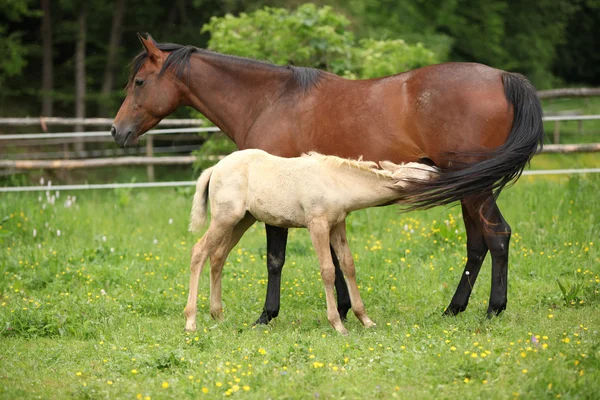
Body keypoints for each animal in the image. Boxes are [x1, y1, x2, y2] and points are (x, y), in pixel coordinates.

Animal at [183, 149, 436, 334]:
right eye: (428, 177)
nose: (444, 177)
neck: (335, 182)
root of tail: (215, 168)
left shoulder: (338, 225)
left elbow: (348, 265)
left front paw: (365, 319)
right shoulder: (317, 225)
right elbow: (328, 270)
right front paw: (337, 324)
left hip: (242, 221)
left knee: (217, 257)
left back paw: (218, 315)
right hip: (224, 218)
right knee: (198, 252)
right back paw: (191, 321)